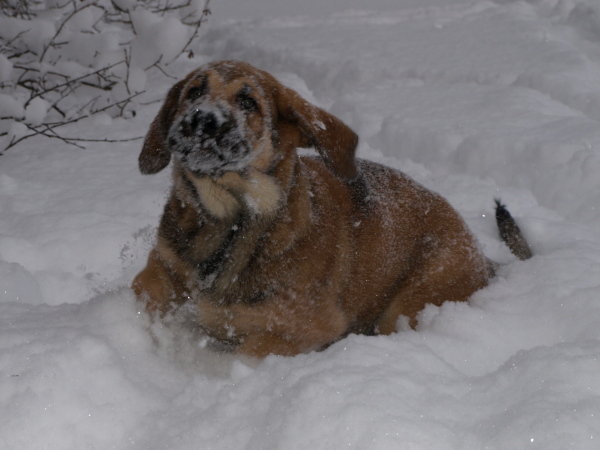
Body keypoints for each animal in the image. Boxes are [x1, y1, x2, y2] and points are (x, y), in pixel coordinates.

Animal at [131, 59, 528, 356]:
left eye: (248, 102)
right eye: (194, 91)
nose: (201, 119)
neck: (228, 223)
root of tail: (485, 259)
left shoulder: (306, 326)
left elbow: (244, 351)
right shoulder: (160, 268)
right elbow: (143, 295)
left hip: (410, 303)